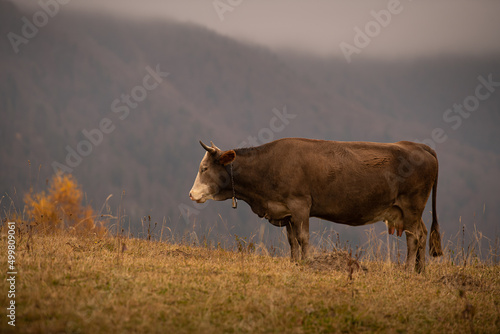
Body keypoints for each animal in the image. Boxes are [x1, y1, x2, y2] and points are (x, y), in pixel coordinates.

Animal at [189, 138, 444, 272]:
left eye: (204, 168)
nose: (191, 194)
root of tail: (418, 146)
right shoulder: (286, 211)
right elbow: (291, 240)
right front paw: (294, 262)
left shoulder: (300, 204)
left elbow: (303, 238)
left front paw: (306, 263)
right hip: (409, 210)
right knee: (422, 233)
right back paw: (420, 270)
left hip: (412, 205)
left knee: (414, 237)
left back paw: (408, 269)